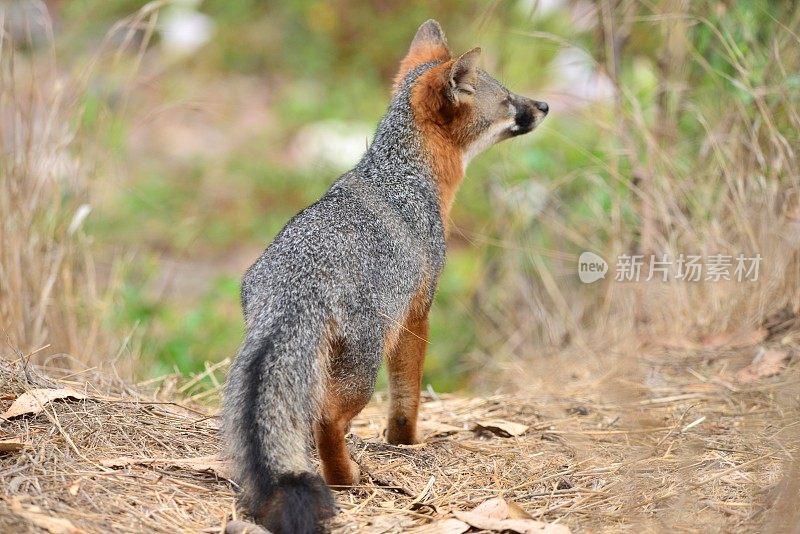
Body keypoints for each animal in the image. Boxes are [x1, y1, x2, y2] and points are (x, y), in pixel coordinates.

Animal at [222, 18, 552, 534]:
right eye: (508, 100)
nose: (544, 106)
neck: (402, 176)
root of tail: (295, 285)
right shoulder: (418, 311)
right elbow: (407, 393)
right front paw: (406, 441)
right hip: (363, 365)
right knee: (327, 421)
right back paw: (347, 478)